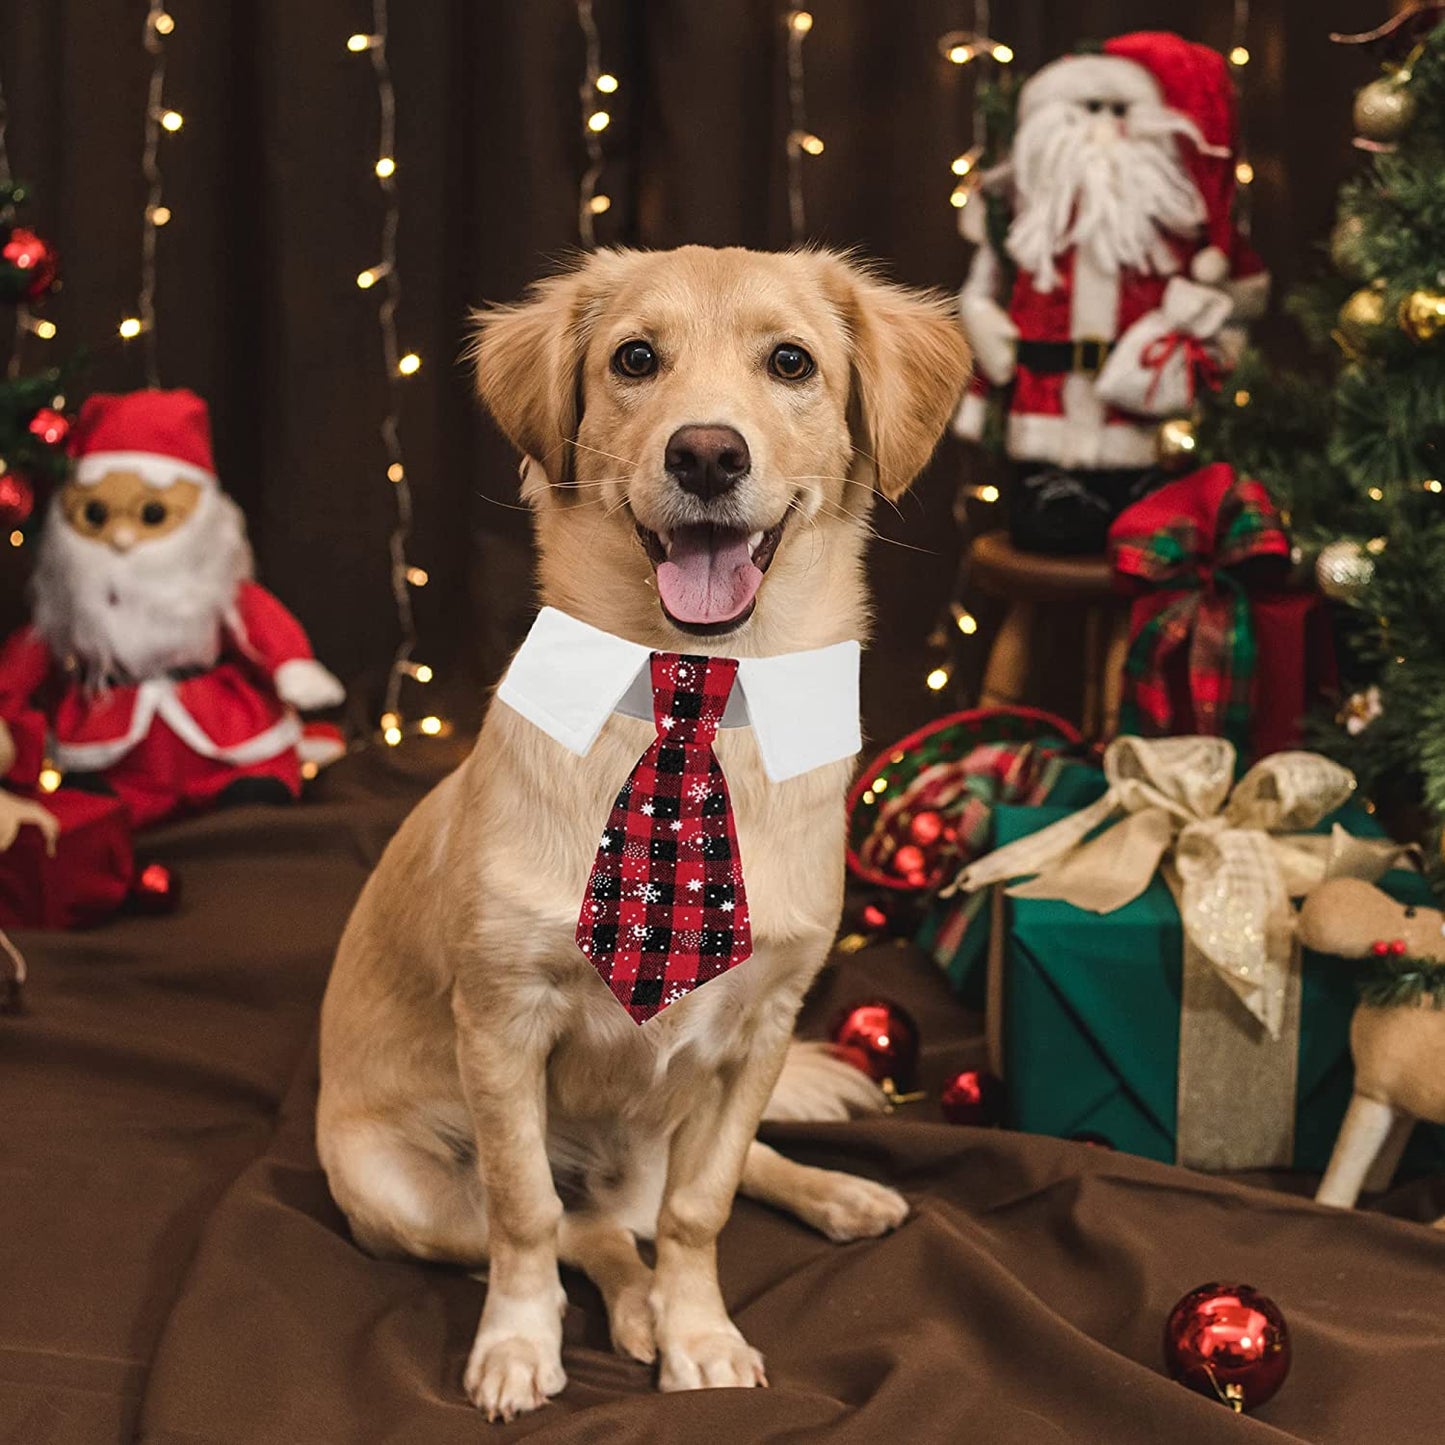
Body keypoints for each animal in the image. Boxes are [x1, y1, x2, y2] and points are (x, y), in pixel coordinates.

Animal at [316, 242, 971, 1416]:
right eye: (633, 359)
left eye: (790, 361)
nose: (706, 452)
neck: (696, 687)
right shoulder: (502, 1024)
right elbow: (527, 1212)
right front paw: (520, 1342)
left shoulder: (758, 1029)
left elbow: (702, 1208)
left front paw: (700, 1329)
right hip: (398, 1191)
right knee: (588, 1230)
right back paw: (627, 1307)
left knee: (673, 1201)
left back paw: (829, 1198)